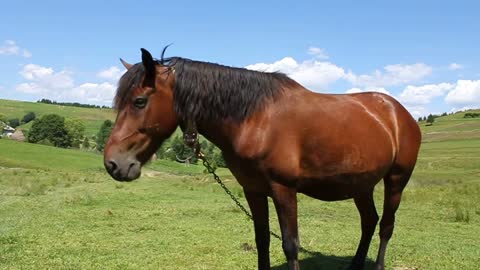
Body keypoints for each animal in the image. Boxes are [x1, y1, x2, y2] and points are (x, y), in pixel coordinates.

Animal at [104, 48, 420, 270]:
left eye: (140, 101)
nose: (113, 164)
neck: (257, 119)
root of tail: (398, 112)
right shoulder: (253, 190)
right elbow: (263, 239)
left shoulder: (284, 190)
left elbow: (291, 245)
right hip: (360, 185)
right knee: (369, 221)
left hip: (396, 180)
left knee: (385, 226)